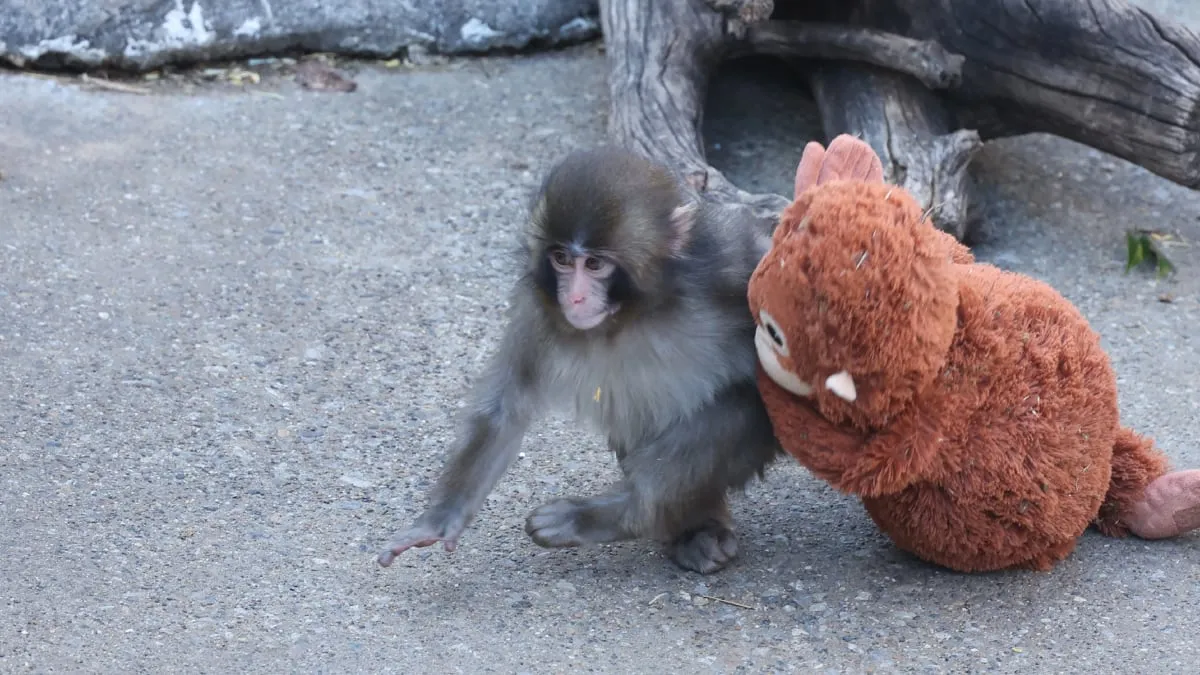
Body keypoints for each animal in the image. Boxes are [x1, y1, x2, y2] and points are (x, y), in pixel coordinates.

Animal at [376, 147, 783, 574]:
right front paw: (439, 520)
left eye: (594, 264)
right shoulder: (538, 309)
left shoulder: (730, 264)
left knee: (741, 405)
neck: (636, 312)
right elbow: (506, 407)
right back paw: (692, 529)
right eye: (560, 259)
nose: (573, 297)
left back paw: (620, 513)